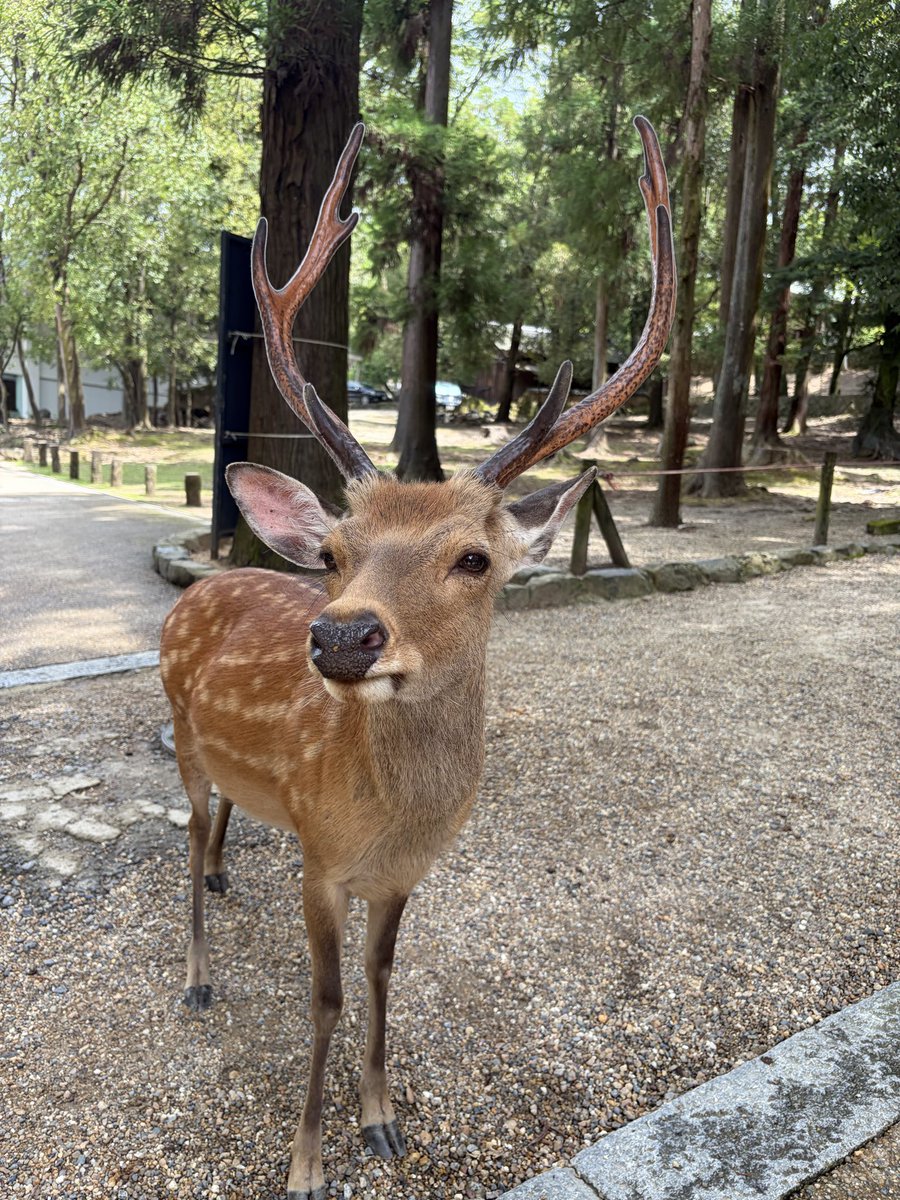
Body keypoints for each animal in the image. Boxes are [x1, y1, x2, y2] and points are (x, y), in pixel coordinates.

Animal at [160, 117, 674, 1200]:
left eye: (473, 558)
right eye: (332, 554)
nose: (341, 634)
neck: (384, 818)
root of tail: (196, 590)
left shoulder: (402, 877)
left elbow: (381, 976)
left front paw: (383, 1121)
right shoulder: (319, 860)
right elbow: (322, 999)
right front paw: (308, 1162)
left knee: (221, 815)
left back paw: (225, 878)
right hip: (177, 727)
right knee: (185, 829)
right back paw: (197, 977)